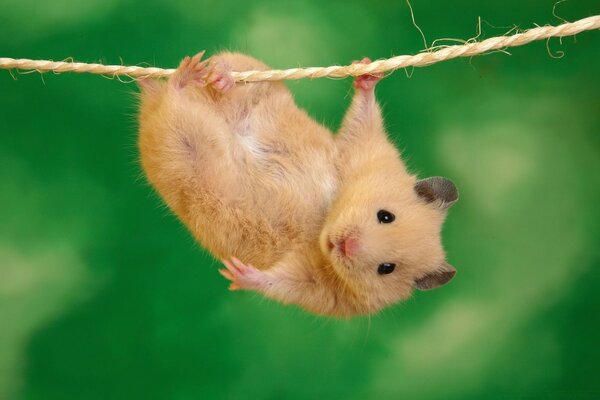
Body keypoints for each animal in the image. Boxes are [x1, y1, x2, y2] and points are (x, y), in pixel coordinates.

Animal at [136, 51, 458, 318]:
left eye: (386, 269)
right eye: (386, 216)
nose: (344, 245)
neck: (325, 220)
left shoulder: (320, 289)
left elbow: (281, 282)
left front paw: (237, 273)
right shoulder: (362, 152)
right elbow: (362, 120)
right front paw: (367, 71)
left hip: (180, 146)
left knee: (172, 104)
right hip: (256, 82)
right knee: (230, 70)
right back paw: (210, 75)